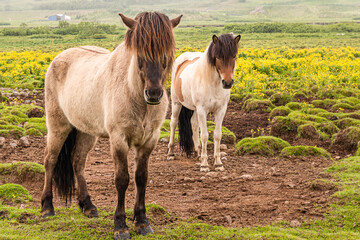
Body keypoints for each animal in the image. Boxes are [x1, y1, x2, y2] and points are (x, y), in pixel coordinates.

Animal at [40, 11, 181, 240]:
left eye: (166, 56)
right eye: (140, 57)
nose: (153, 94)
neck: (133, 93)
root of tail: (59, 58)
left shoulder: (149, 140)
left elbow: (141, 178)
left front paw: (142, 222)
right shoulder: (119, 139)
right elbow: (122, 179)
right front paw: (120, 226)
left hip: (86, 132)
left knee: (77, 161)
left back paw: (88, 206)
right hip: (58, 126)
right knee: (50, 160)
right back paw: (47, 208)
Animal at [167, 33, 240, 172]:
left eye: (234, 56)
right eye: (218, 57)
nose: (227, 83)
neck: (212, 84)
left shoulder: (221, 110)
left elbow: (217, 135)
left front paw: (218, 163)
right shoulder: (202, 110)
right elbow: (205, 135)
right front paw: (205, 165)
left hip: (195, 109)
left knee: (194, 124)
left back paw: (198, 152)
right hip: (176, 103)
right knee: (173, 123)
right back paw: (170, 153)